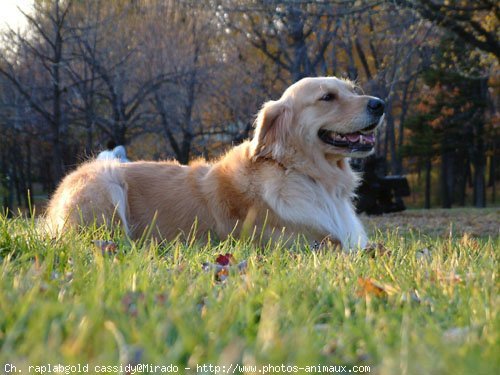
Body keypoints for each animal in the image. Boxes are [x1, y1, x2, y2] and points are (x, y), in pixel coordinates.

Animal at [45, 76, 384, 251]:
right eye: (327, 97)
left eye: (352, 90)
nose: (380, 104)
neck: (299, 172)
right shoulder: (304, 244)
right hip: (107, 186)